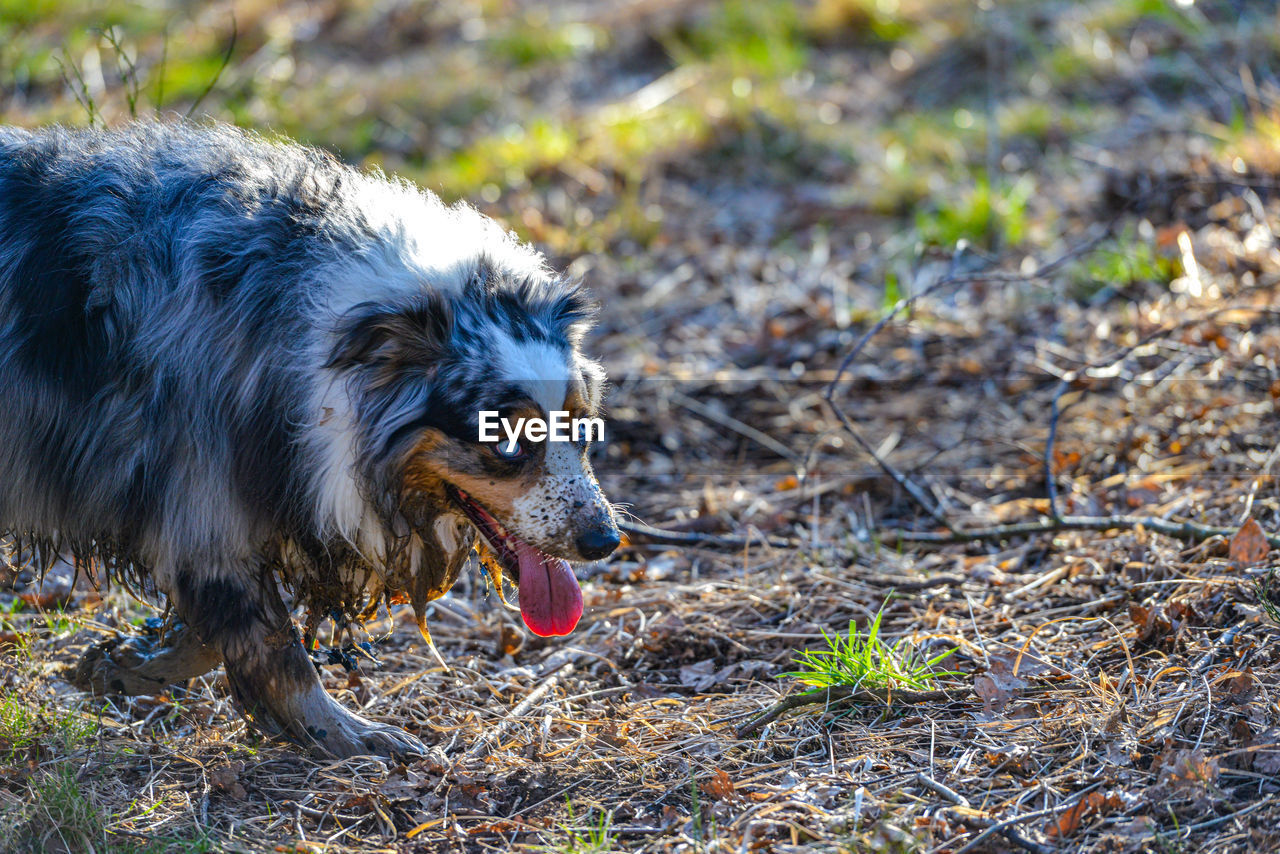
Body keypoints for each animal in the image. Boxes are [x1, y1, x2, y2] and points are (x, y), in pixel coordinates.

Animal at [0, 123, 619, 757]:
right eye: (505, 441)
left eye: (579, 423)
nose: (605, 541)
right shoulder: (203, 488)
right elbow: (273, 644)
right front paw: (350, 736)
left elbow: (214, 629)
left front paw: (127, 662)